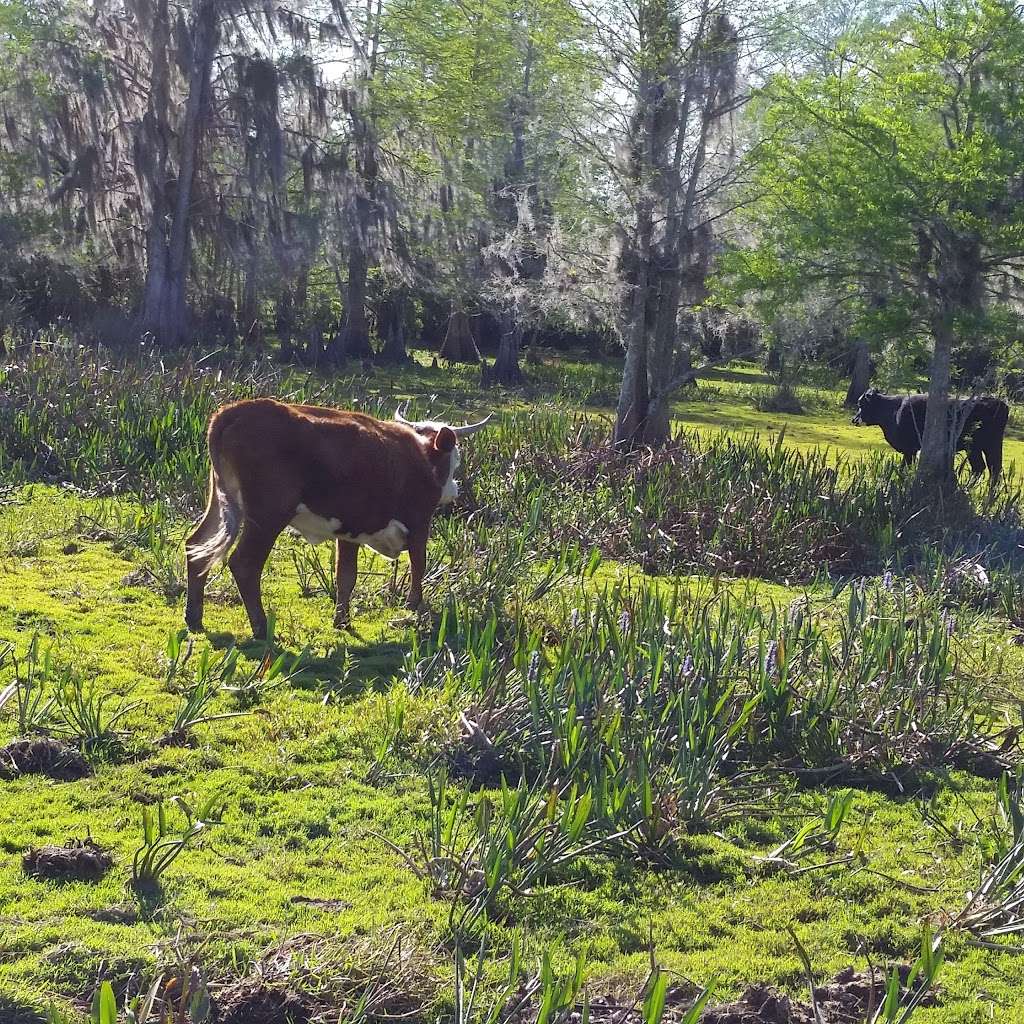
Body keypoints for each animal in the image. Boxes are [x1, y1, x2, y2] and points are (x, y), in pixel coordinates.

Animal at [184, 401, 491, 634]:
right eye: (455, 458)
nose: (455, 489)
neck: (419, 456)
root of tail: (233, 410)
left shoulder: (351, 529)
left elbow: (346, 576)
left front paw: (342, 620)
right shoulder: (419, 523)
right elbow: (419, 567)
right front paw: (414, 608)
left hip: (222, 501)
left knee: (196, 547)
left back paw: (194, 618)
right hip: (268, 515)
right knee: (245, 564)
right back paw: (260, 627)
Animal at [851, 387, 1011, 483]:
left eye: (861, 405)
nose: (853, 419)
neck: (894, 411)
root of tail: (999, 403)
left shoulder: (909, 449)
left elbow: (904, 467)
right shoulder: (912, 450)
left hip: (974, 445)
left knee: (980, 467)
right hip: (990, 445)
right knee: (992, 469)